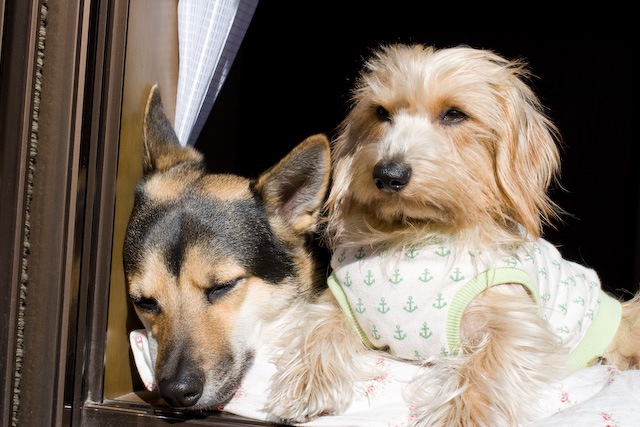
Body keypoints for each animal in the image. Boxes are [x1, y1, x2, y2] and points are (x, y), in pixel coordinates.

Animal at [267, 45, 640, 426]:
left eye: (455, 114)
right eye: (381, 113)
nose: (388, 174)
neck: (417, 234)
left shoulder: (518, 324)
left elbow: (487, 365)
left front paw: (462, 415)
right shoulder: (335, 302)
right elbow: (317, 327)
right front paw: (308, 383)